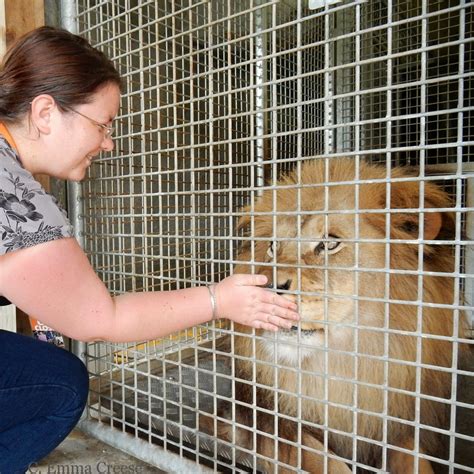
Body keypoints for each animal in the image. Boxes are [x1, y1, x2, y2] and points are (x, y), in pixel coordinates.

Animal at [200, 157, 470, 472]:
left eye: (329, 244)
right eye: (272, 246)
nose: (266, 287)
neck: (340, 369)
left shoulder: (394, 423)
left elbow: (416, 460)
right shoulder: (256, 419)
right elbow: (323, 459)